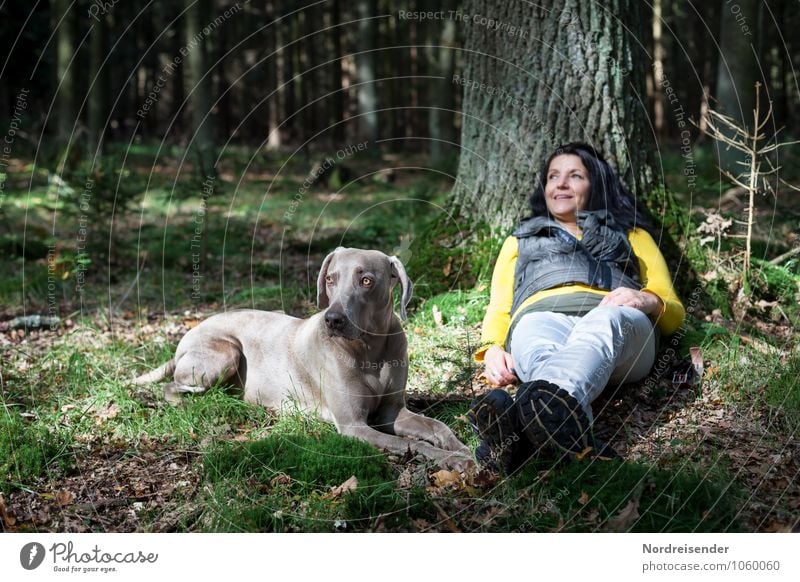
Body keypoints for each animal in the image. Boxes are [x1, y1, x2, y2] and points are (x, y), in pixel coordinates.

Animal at [134, 249, 476, 472]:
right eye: (331, 280)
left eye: (366, 280)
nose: (333, 320)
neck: (370, 349)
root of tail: (188, 333)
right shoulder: (353, 426)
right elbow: (414, 444)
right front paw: (450, 459)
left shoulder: (391, 412)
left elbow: (437, 426)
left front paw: (462, 449)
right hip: (225, 353)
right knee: (171, 387)